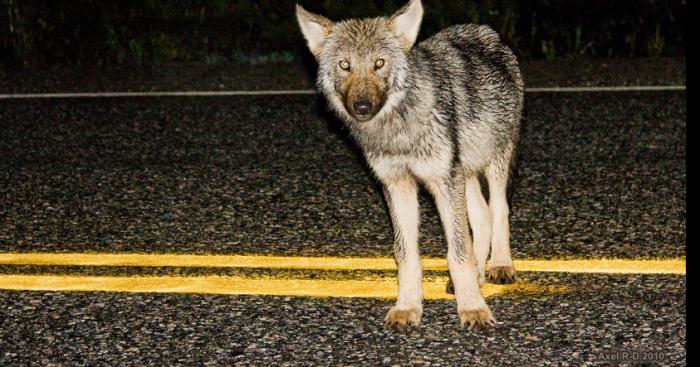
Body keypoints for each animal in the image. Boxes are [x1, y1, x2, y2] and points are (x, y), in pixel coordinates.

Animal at [296, 0, 524, 330]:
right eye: (345, 65)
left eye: (379, 63)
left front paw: (472, 309)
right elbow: (406, 255)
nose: (362, 107)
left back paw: (501, 266)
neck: (398, 130)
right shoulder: (398, 185)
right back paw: (479, 274)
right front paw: (407, 307)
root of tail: (485, 30)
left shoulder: (444, 180)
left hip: (493, 162)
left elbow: (458, 253)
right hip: (464, 172)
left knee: (499, 209)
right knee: (481, 217)